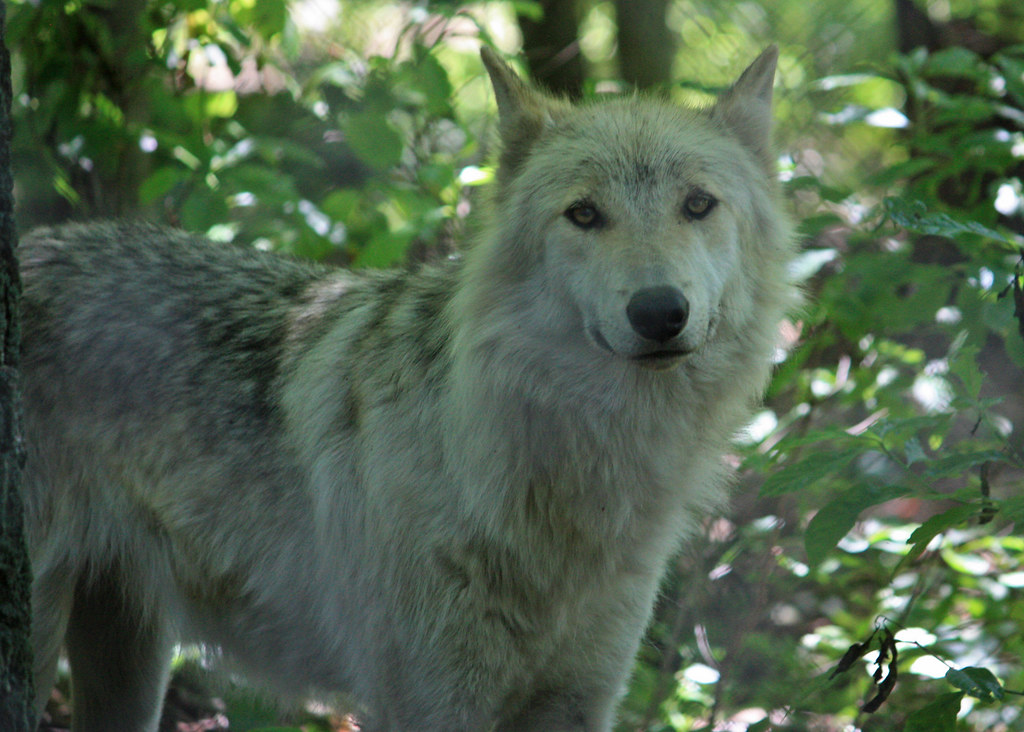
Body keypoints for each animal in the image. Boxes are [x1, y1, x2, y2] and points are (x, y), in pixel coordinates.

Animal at [21, 45, 795, 731]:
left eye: (698, 204)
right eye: (584, 214)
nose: (660, 312)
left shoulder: (578, 702)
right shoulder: (429, 704)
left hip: (129, 665)